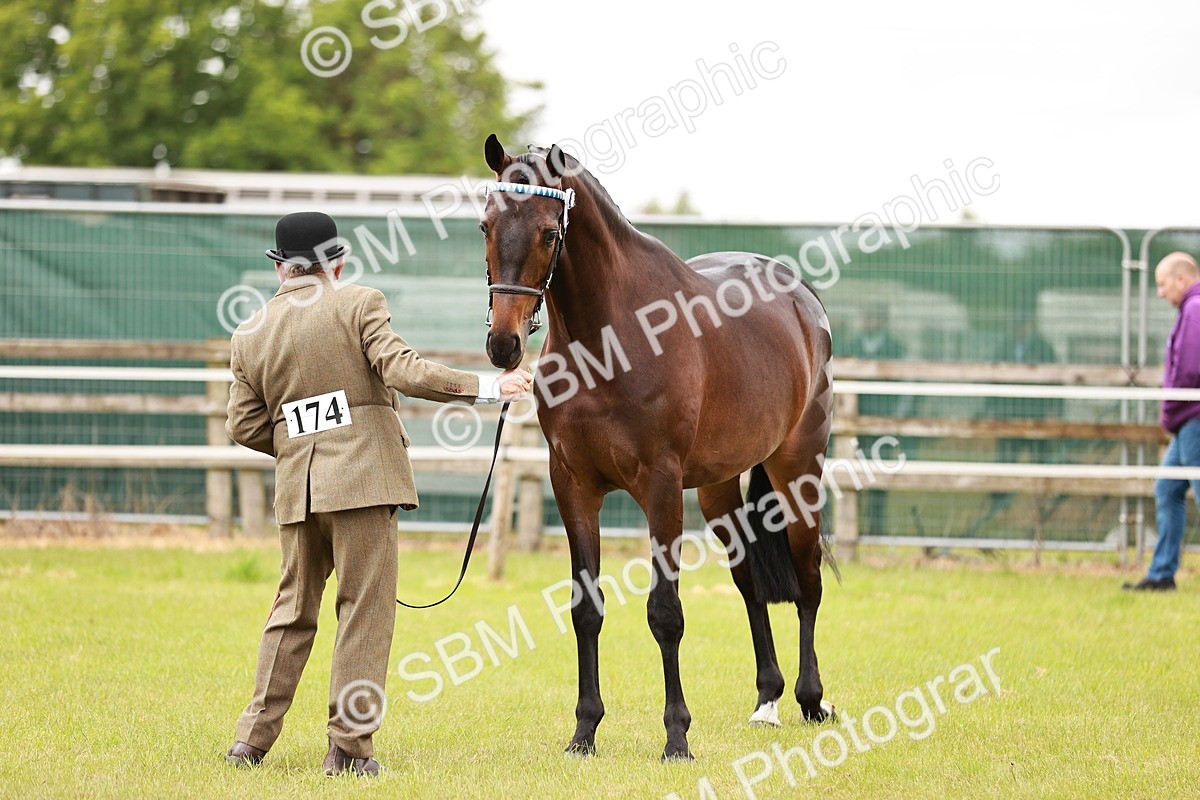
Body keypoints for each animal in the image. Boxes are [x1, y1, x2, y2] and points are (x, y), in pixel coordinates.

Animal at [479, 134, 836, 761]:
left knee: (807, 578)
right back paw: (767, 700)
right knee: (750, 584)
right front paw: (585, 731)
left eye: (548, 232)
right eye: (485, 226)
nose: (504, 345)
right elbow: (585, 609)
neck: (610, 338)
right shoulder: (572, 485)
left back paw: (811, 699)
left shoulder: (661, 487)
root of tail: (802, 300)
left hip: (798, 472)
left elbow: (665, 613)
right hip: (719, 489)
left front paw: (676, 736)